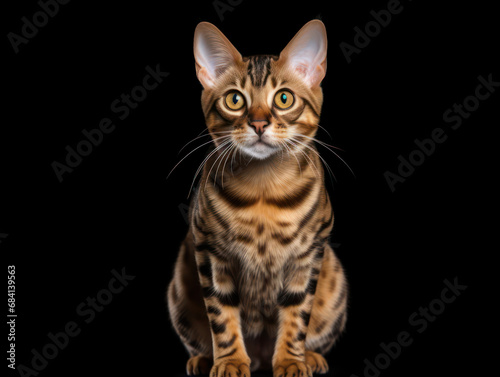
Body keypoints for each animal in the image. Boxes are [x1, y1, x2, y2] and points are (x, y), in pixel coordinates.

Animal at [168, 20, 348, 376]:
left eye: (284, 98)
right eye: (235, 100)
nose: (260, 123)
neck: (263, 192)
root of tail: (262, 357)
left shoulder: (309, 255)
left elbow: (297, 313)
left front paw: (291, 361)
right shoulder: (209, 252)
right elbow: (221, 315)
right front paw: (230, 361)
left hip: (335, 282)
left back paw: (311, 357)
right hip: (179, 288)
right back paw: (203, 359)